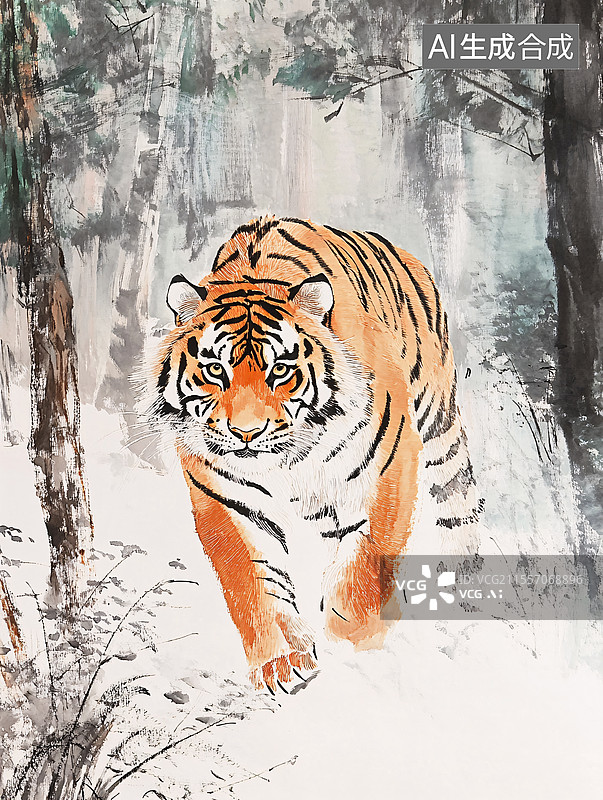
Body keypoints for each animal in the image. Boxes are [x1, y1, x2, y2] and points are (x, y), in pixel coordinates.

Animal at [148, 216, 481, 693]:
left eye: (280, 370)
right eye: (215, 370)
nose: (246, 433)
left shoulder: (389, 468)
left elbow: (366, 568)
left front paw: (354, 643)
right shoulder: (226, 497)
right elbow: (252, 582)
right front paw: (282, 662)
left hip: (439, 425)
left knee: (457, 512)